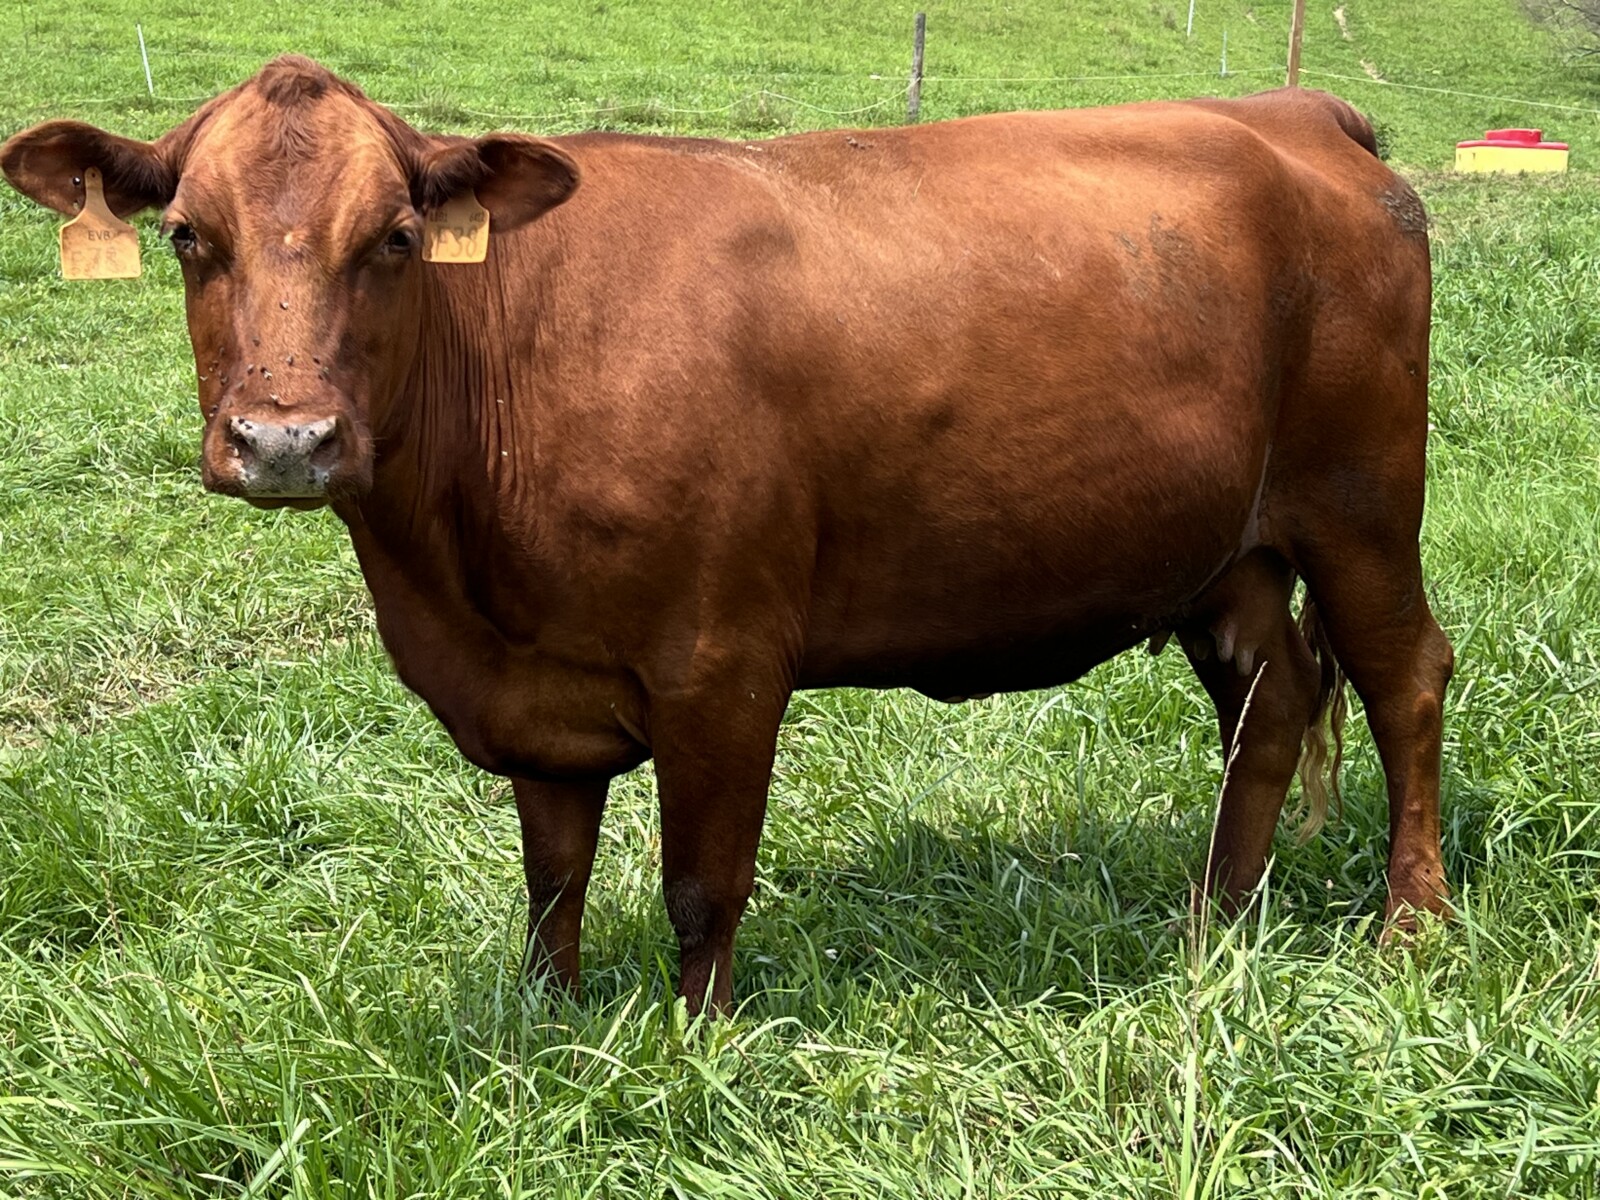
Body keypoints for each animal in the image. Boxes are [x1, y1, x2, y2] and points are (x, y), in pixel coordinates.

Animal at [2, 57, 1453, 1014]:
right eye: (188, 236)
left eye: (399, 237)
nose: (286, 440)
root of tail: (1290, 113)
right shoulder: (536, 689)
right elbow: (553, 876)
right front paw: (547, 1029)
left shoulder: (722, 663)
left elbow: (701, 884)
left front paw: (694, 1050)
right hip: (1230, 550)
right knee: (1271, 702)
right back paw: (1216, 924)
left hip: (1363, 503)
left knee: (1404, 680)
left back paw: (1411, 924)